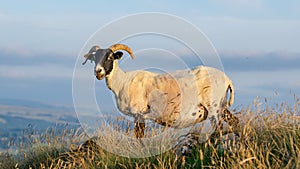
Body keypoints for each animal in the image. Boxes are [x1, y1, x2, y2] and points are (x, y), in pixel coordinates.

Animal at [82, 43, 239, 156]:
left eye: (110, 57)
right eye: (94, 59)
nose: (98, 72)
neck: (123, 82)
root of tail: (227, 79)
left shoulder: (139, 114)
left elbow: (139, 136)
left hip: (214, 107)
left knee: (219, 129)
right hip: (221, 106)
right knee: (234, 122)